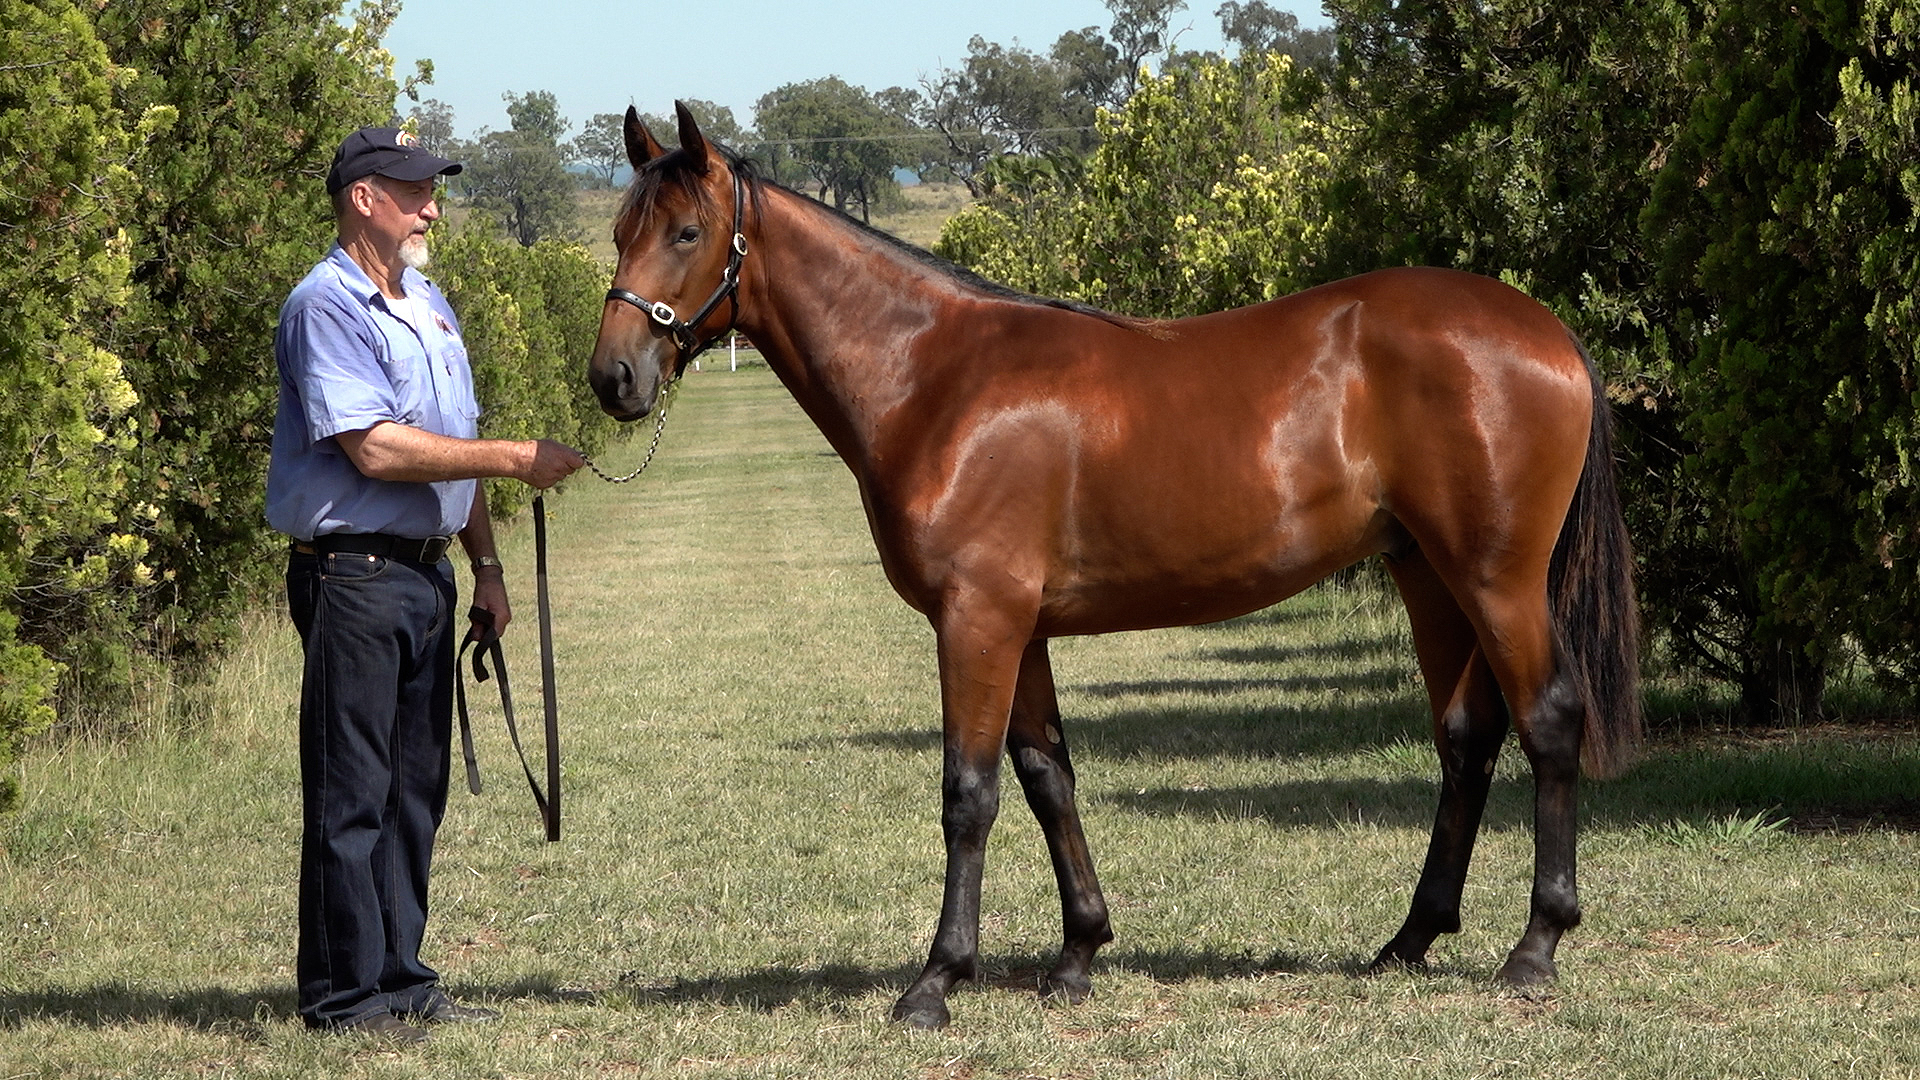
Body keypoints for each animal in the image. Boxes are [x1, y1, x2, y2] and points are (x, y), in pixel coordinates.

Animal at [588, 103, 1640, 1029]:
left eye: (686, 231)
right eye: (618, 231)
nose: (614, 377)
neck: (937, 379)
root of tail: (1544, 329)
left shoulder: (977, 619)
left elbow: (969, 794)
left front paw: (937, 982)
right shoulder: (1020, 629)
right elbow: (1046, 777)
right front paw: (1077, 956)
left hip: (1499, 581)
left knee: (1549, 723)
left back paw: (1535, 949)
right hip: (1429, 577)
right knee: (1465, 739)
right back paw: (1409, 941)